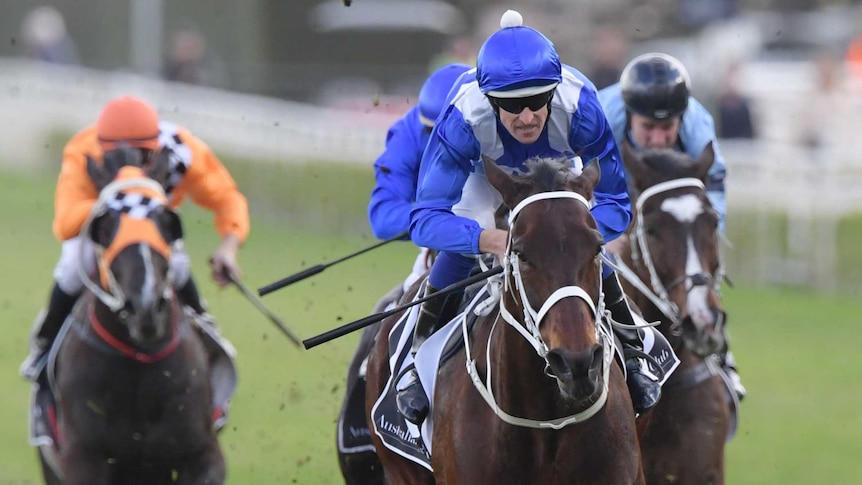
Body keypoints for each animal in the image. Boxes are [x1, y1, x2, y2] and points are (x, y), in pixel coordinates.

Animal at [41, 164, 224, 482]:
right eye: (105, 230)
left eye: (166, 225)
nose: (145, 306)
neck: (139, 361)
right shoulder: (84, 458)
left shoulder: (202, 453)